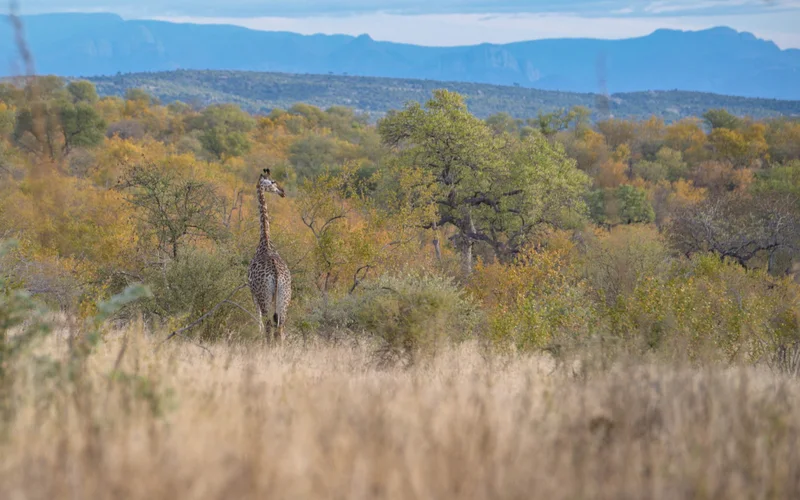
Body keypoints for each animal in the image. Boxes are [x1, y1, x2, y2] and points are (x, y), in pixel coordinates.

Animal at [248, 168, 292, 343]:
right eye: (272, 182)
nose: (282, 191)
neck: (265, 241)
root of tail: (277, 274)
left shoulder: (253, 294)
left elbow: (258, 323)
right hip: (284, 297)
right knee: (280, 328)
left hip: (264, 296)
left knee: (267, 326)